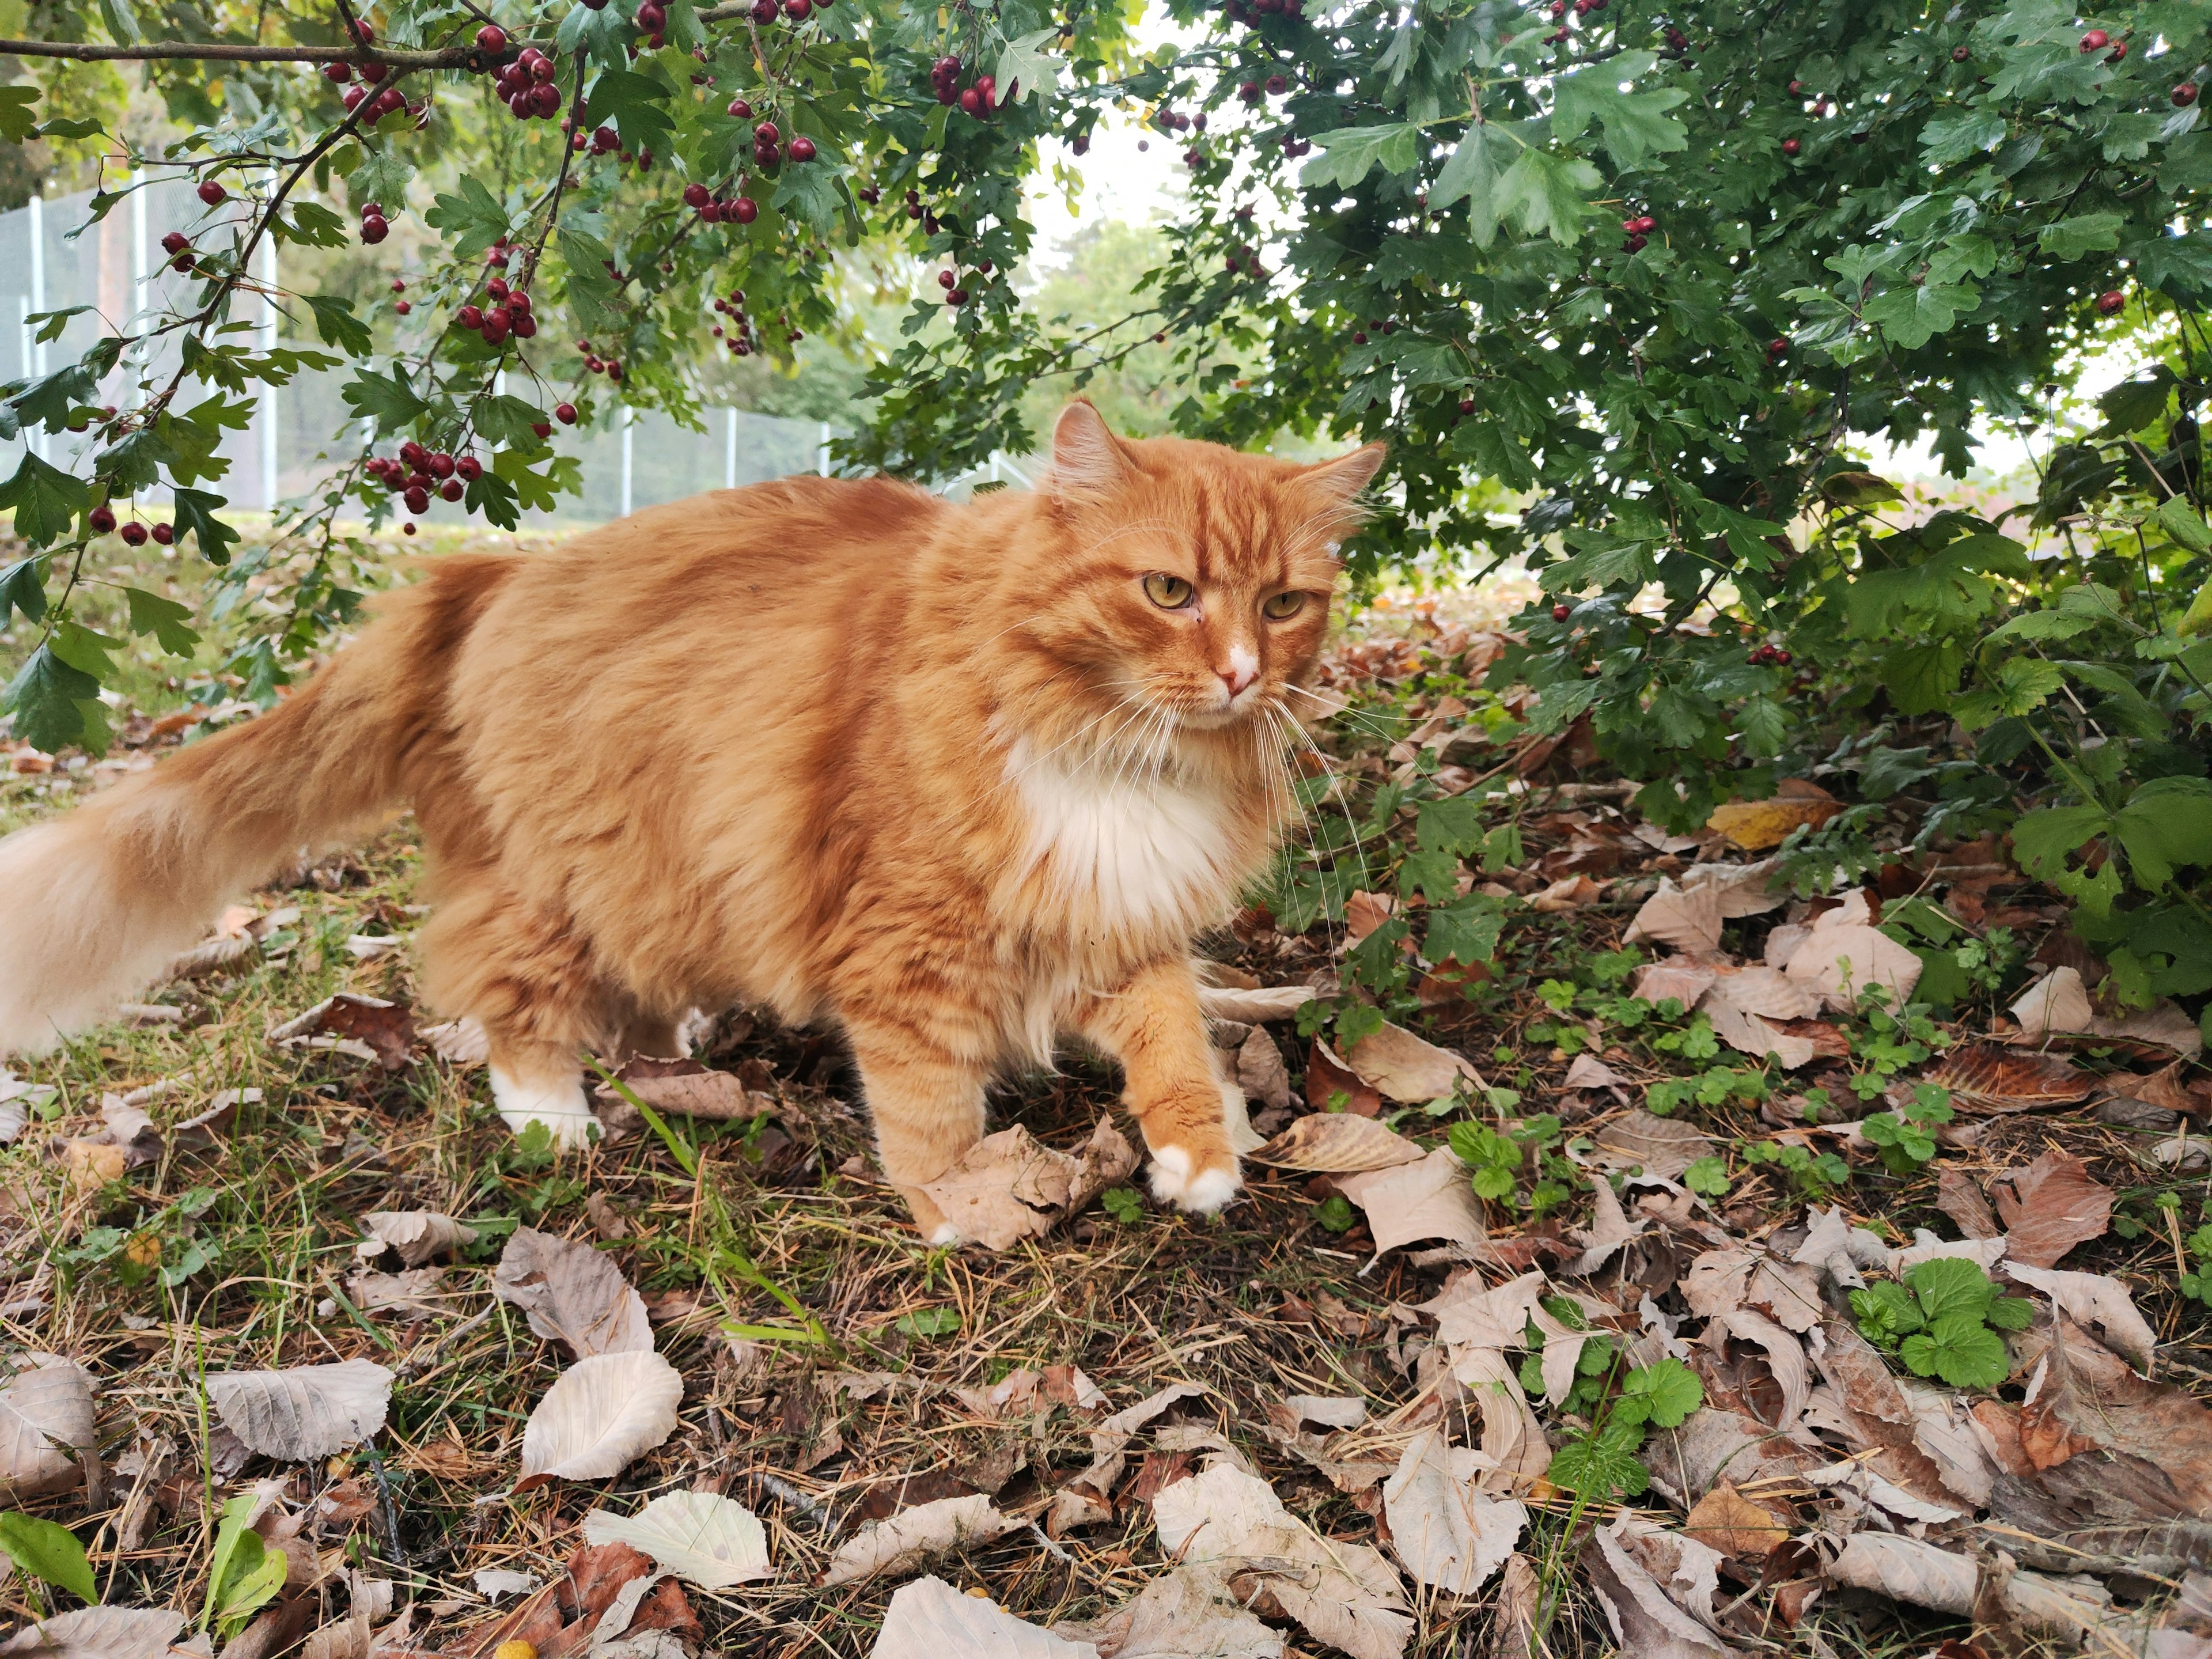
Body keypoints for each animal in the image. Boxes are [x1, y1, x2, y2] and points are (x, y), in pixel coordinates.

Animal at [0, 400, 1380, 1238]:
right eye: (1170, 592)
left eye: (1285, 604)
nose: (1245, 675)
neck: (1121, 757)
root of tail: (495, 571)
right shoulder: (915, 945)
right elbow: (930, 1106)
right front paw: (960, 1211)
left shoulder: (1109, 917)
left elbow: (1174, 1039)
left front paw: (1198, 1155)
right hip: (548, 877)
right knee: (513, 999)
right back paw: (553, 1117)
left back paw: (675, 1046)